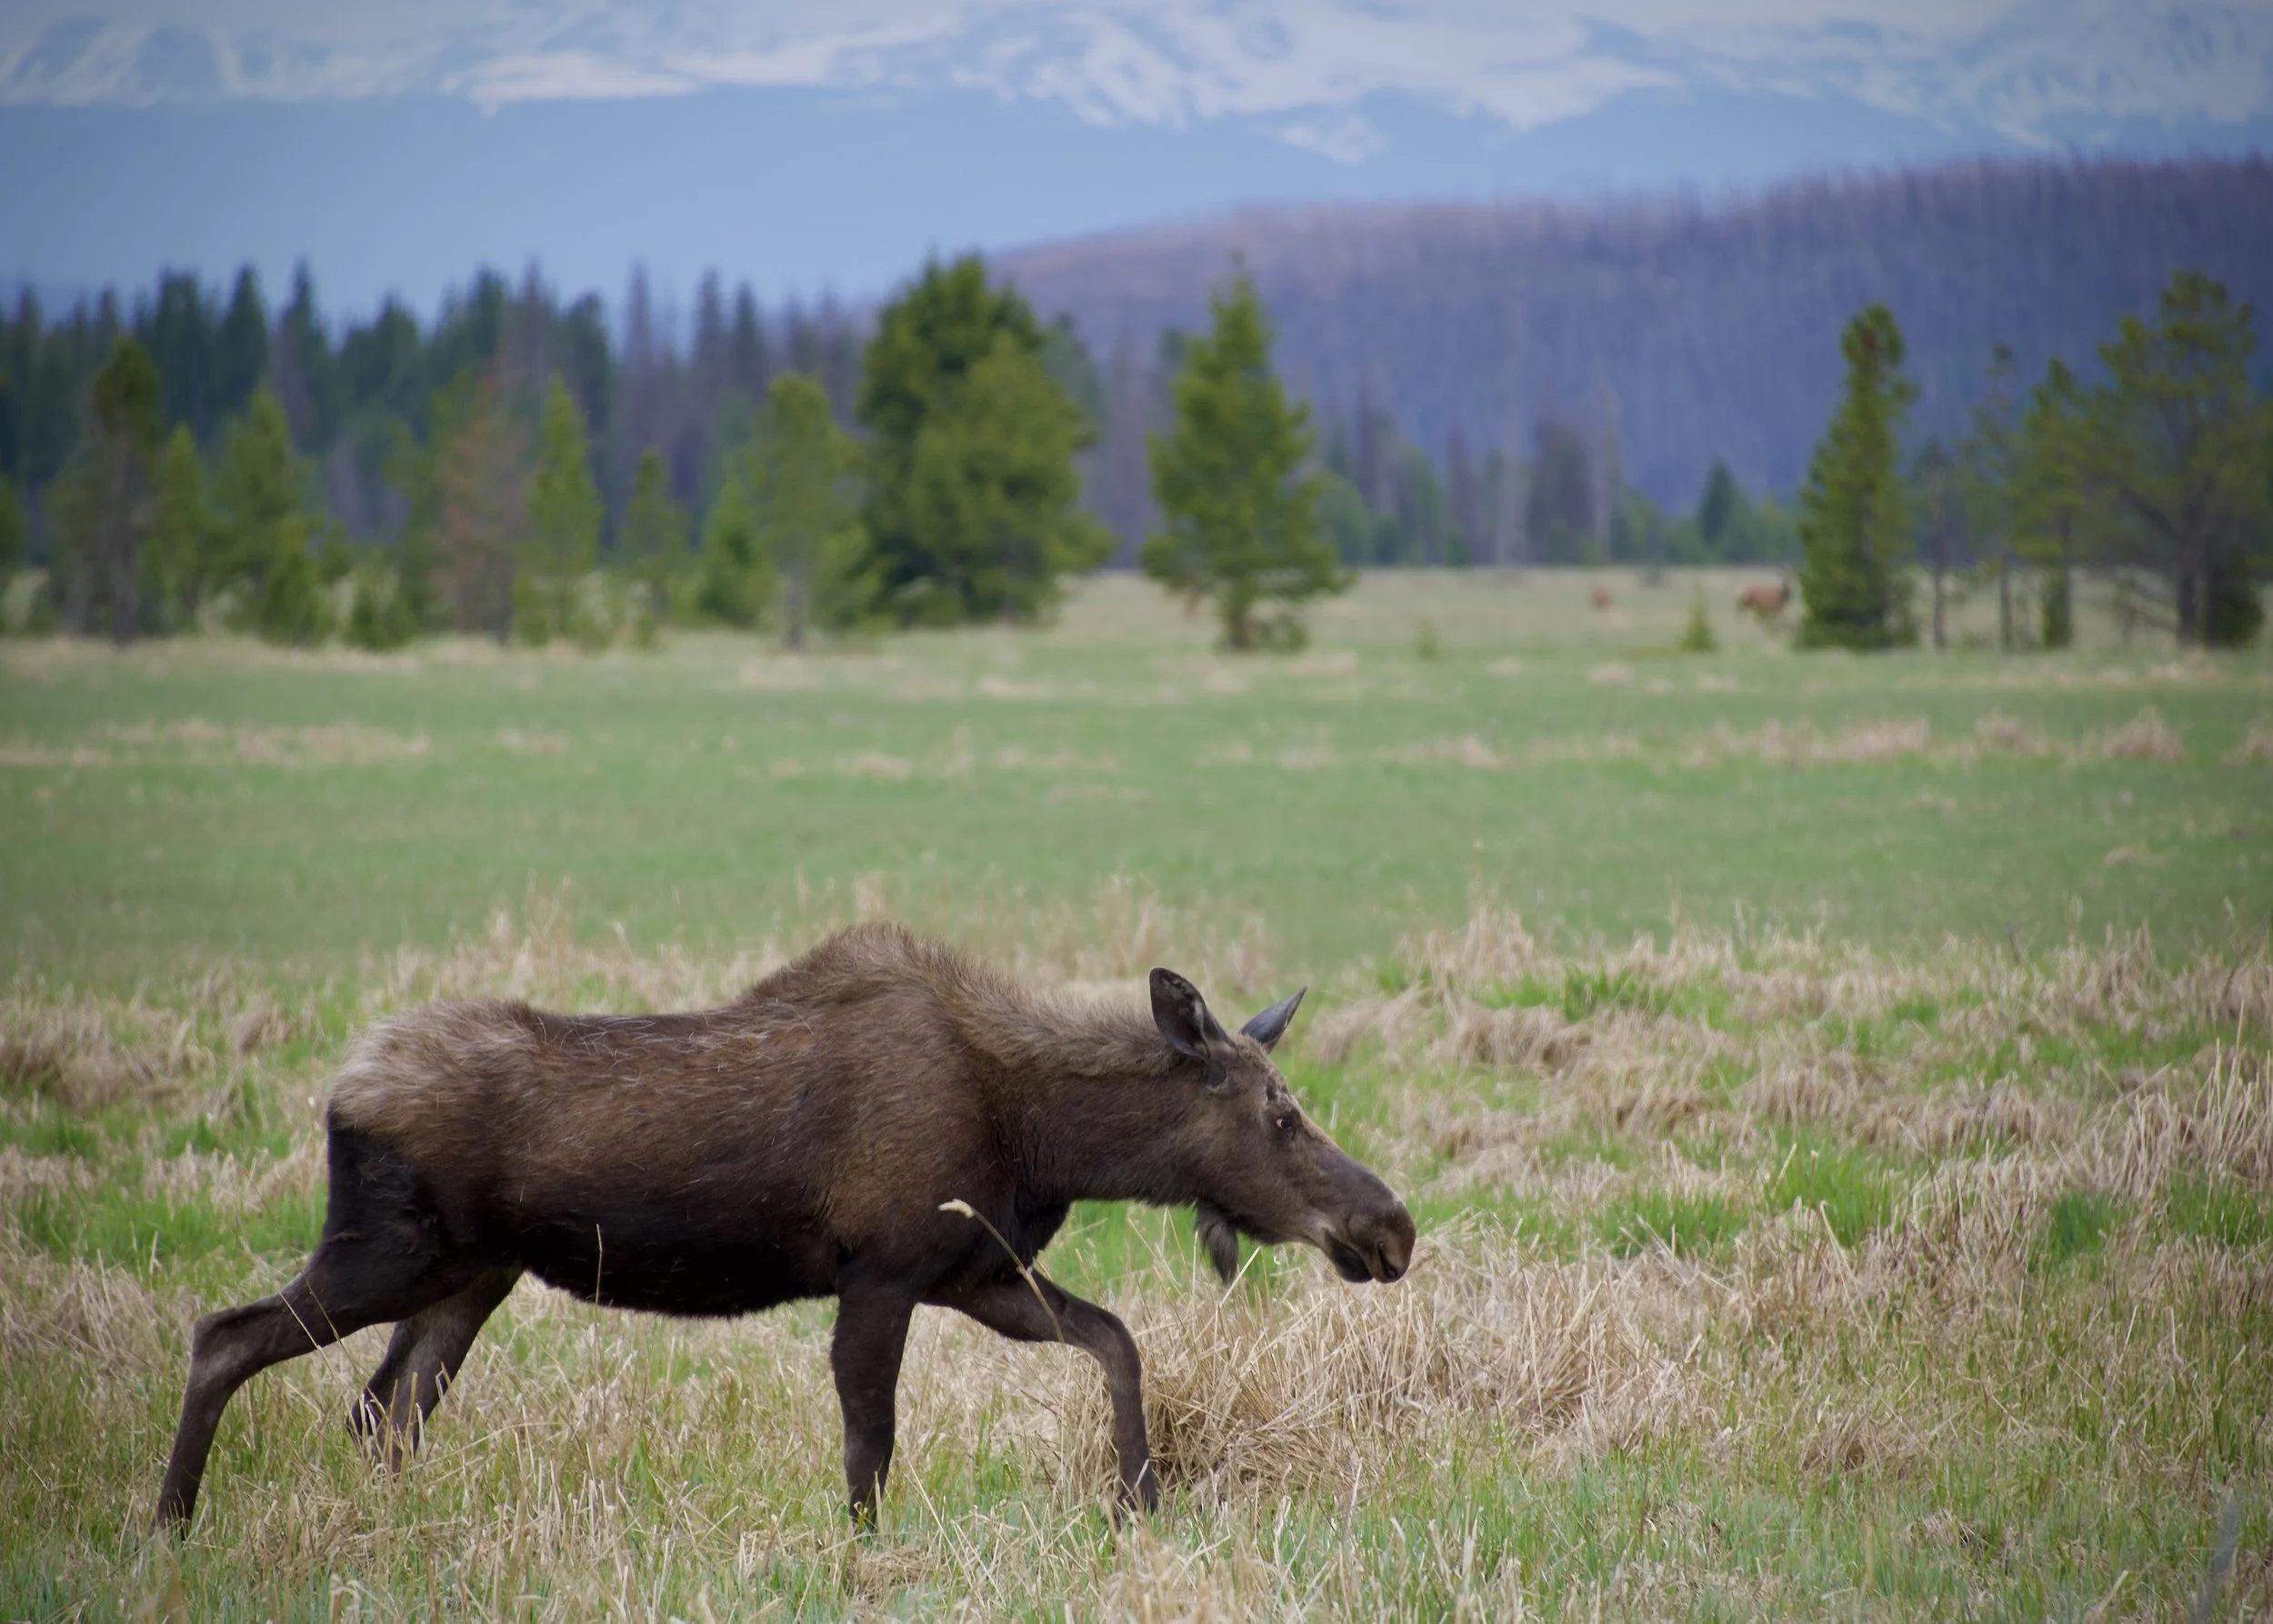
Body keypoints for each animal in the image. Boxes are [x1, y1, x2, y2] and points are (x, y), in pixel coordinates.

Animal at [153, 923, 1416, 1531]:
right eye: (1281, 1112)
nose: (1392, 1226)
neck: (1046, 1137)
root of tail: (344, 1083)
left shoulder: (974, 1271)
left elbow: (1115, 1340)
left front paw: (1139, 1503)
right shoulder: (884, 1272)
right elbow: (870, 1447)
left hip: (473, 1274)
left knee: (383, 1410)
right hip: (386, 1249)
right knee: (225, 1336)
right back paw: (169, 1525)